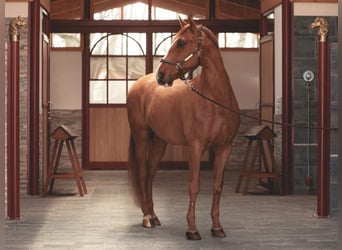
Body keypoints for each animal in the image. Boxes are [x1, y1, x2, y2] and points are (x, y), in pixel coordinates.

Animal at [126, 16, 240, 240]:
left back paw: (154, 216)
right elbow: (194, 186)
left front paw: (216, 227)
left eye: (181, 42)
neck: (214, 100)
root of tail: (139, 83)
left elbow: (217, 186)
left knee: (150, 174)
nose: (161, 75)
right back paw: (146, 218)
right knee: (143, 173)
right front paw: (192, 229)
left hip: (159, 141)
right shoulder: (195, 147)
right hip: (141, 136)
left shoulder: (224, 148)